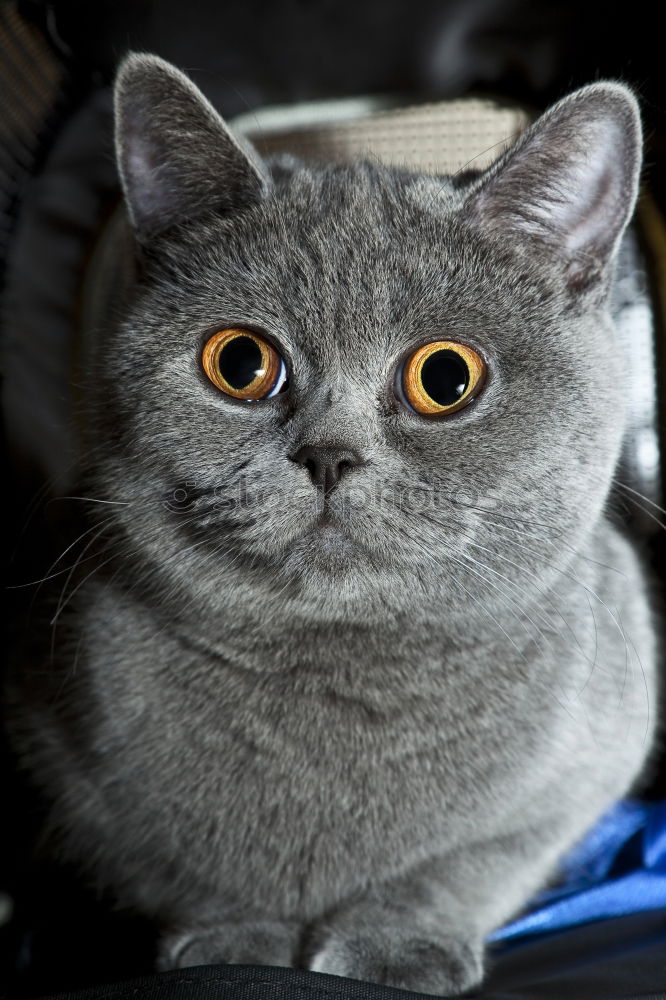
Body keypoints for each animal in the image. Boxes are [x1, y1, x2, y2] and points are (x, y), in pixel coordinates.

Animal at [5, 52, 656, 992]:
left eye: (446, 378)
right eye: (241, 362)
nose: (328, 455)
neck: (339, 669)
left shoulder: (588, 763)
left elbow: (473, 863)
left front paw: (393, 943)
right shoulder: (70, 769)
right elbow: (181, 862)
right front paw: (238, 932)